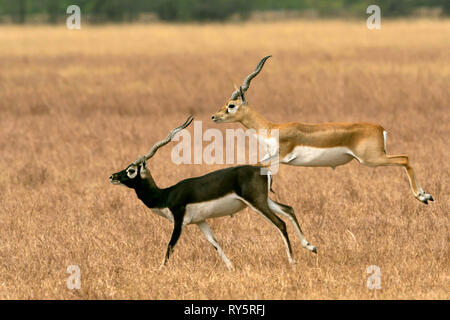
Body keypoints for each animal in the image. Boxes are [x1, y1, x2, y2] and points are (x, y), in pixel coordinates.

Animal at [110, 115, 316, 270]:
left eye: (131, 170)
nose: (112, 176)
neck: (165, 195)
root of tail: (263, 170)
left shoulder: (179, 222)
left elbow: (170, 247)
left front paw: (159, 270)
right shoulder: (201, 221)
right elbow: (215, 244)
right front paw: (232, 268)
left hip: (257, 202)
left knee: (280, 223)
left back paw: (293, 262)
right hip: (264, 200)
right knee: (288, 209)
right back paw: (310, 246)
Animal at [213, 56, 434, 204]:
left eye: (231, 105)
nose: (214, 116)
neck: (272, 128)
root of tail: (380, 128)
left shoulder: (281, 156)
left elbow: (257, 164)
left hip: (371, 159)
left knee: (404, 158)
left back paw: (422, 196)